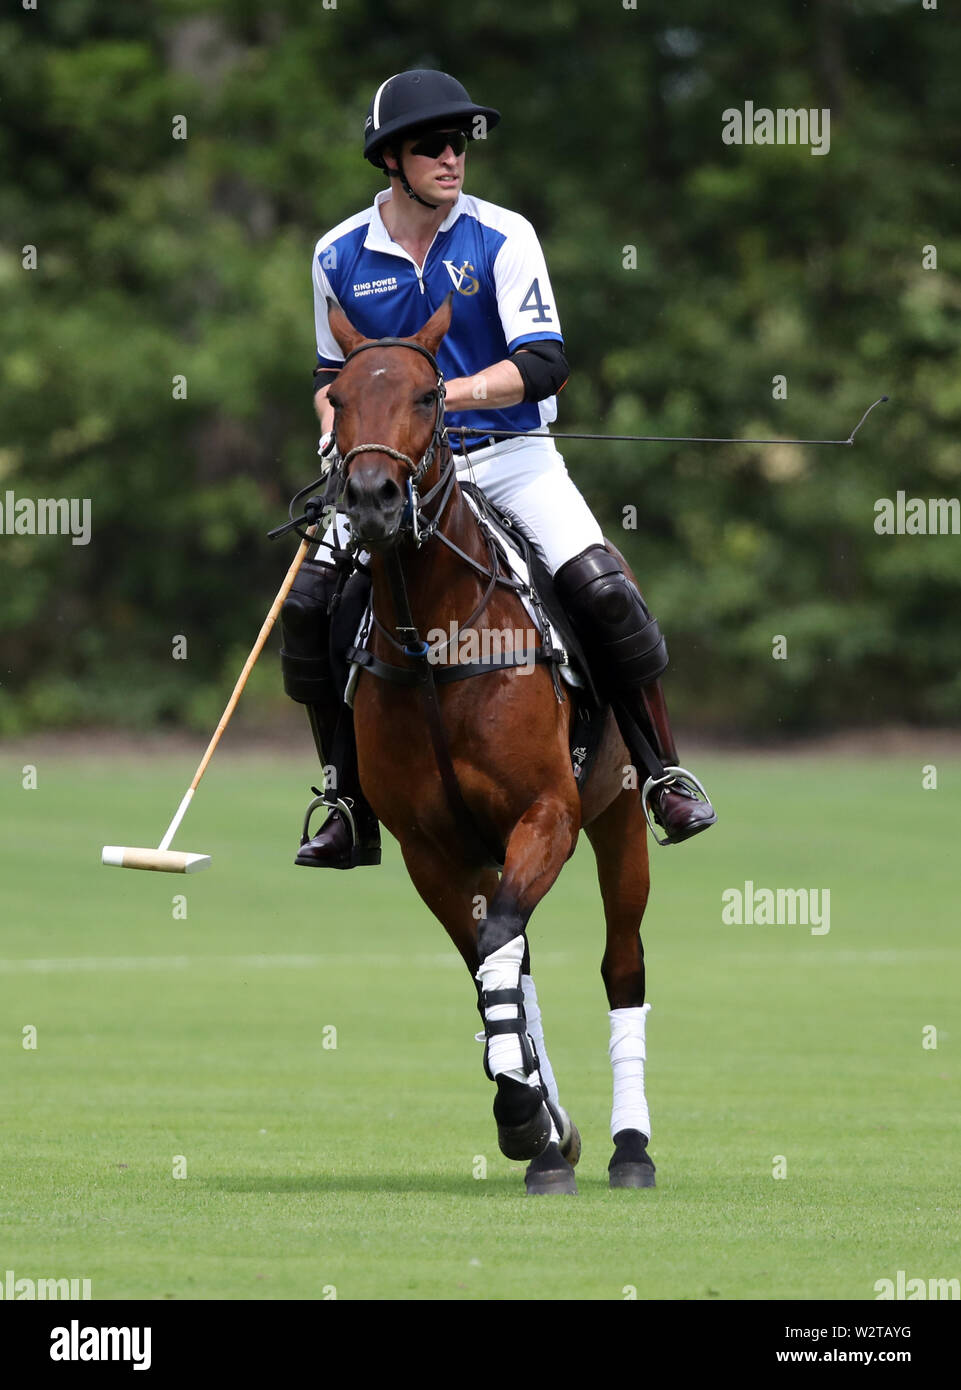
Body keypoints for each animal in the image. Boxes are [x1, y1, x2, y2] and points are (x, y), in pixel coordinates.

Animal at [322, 293, 653, 1195]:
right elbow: (489, 959)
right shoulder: (430, 849)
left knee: (621, 965)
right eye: (338, 399)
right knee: (516, 958)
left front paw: (524, 1115)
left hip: (618, 816)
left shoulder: (549, 813)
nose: (370, 499)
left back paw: (630, 1148)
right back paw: (551, 1127)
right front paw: (528, 1122)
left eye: (429, 395)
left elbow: (502, 946)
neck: (433, 643)